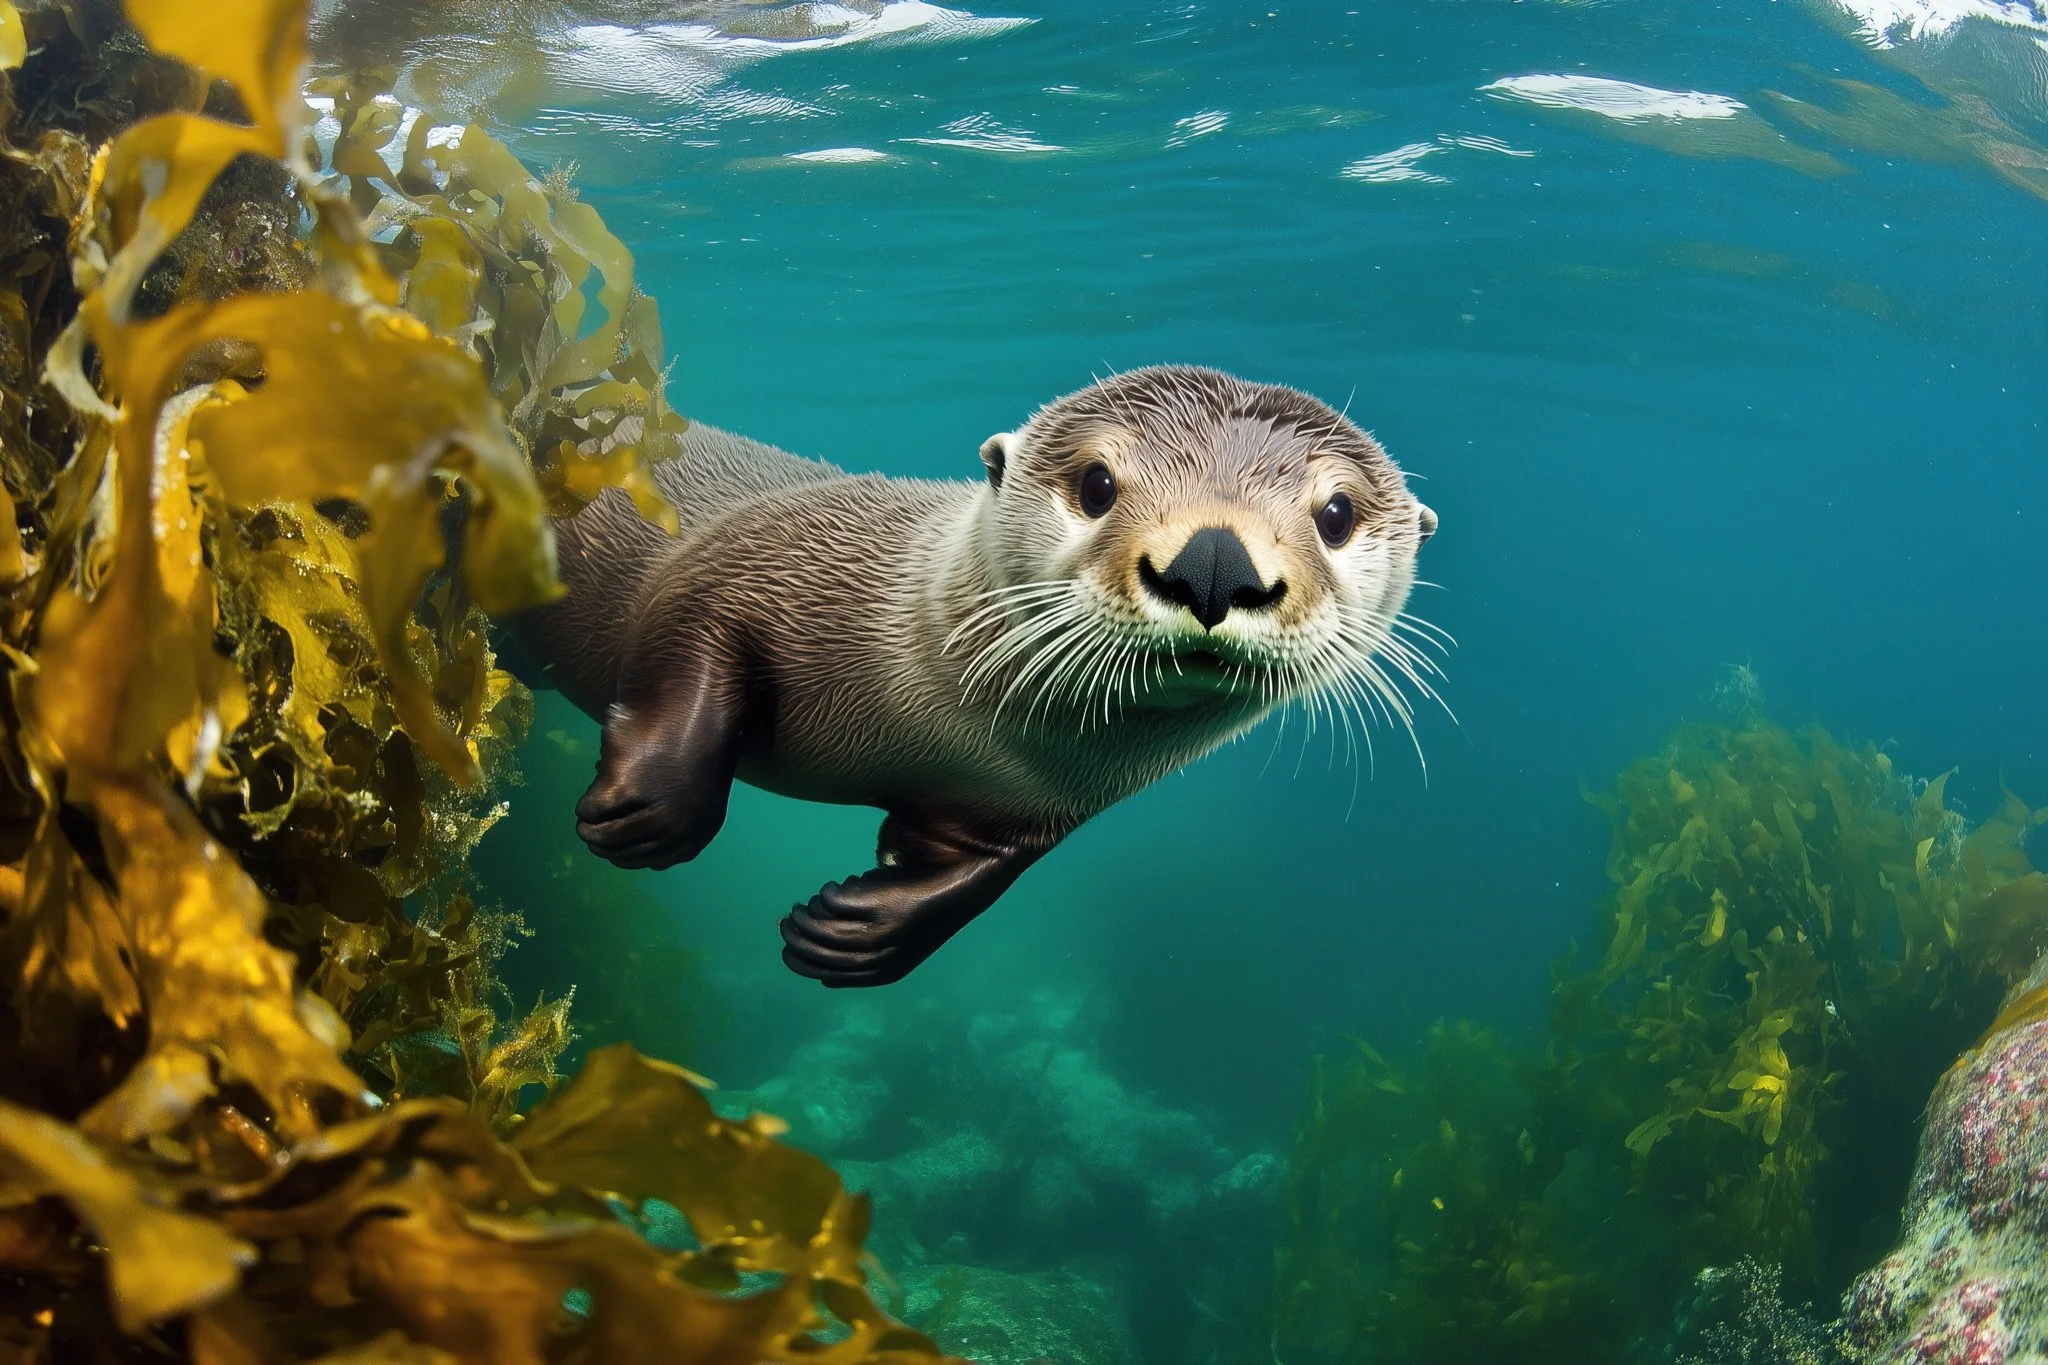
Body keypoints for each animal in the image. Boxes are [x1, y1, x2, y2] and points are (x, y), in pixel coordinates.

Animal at [515, 366, 1440, 987]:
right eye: (1097, 482)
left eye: (1336, 513)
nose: (1214, 561)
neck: (930, 709)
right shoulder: (747, 559)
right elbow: (689, 637)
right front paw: (646, 814)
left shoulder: (1032, 808)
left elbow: (967, 882)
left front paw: (852, 933)